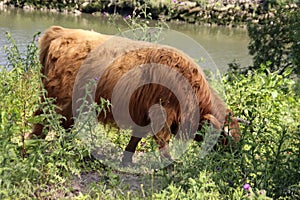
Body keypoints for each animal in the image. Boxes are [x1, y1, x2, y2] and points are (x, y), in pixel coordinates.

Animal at [29, 25, 241, 165]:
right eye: (227, 138)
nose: (235, 156)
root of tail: (62, 32)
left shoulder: (143, 114)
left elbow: (135, 139)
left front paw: (126, 160)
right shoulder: (162, 113)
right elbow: (162, 140)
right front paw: (170, 164)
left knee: (64, 123)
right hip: (57, 97)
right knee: (43, 119)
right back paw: (33, 145)